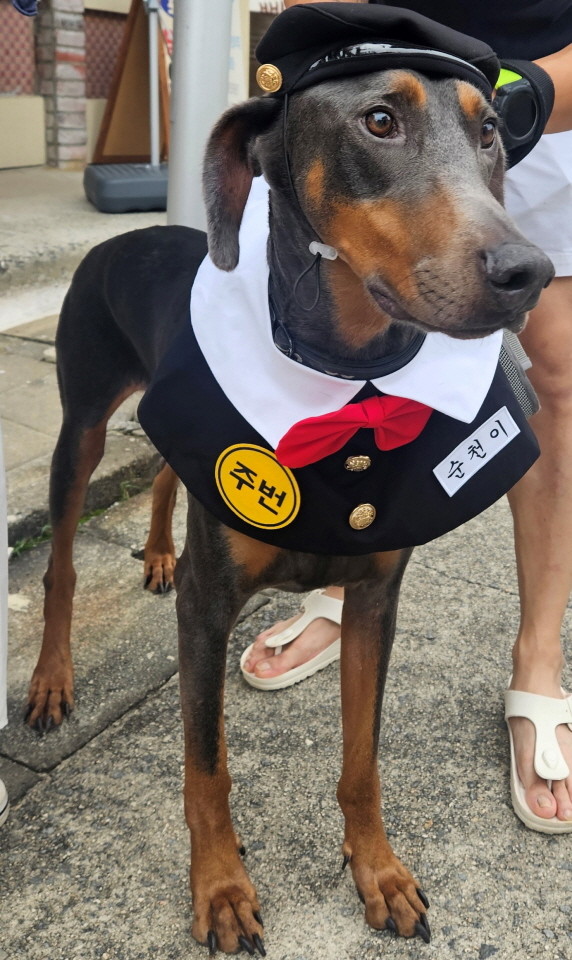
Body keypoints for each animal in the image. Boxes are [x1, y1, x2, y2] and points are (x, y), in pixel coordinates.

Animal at [24, 9, 554, 954]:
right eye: (379, 121)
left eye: (490, 130)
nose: (527, 272)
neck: (354, 386)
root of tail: (124, 233)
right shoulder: (208, 611)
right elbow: (207, 769)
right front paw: (221, 888)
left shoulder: (376, 601)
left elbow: (362, 760)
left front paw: (378, 871)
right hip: (80, 425)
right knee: (61, 565)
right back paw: (52, 678)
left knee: (165, 479)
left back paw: (157, 553)